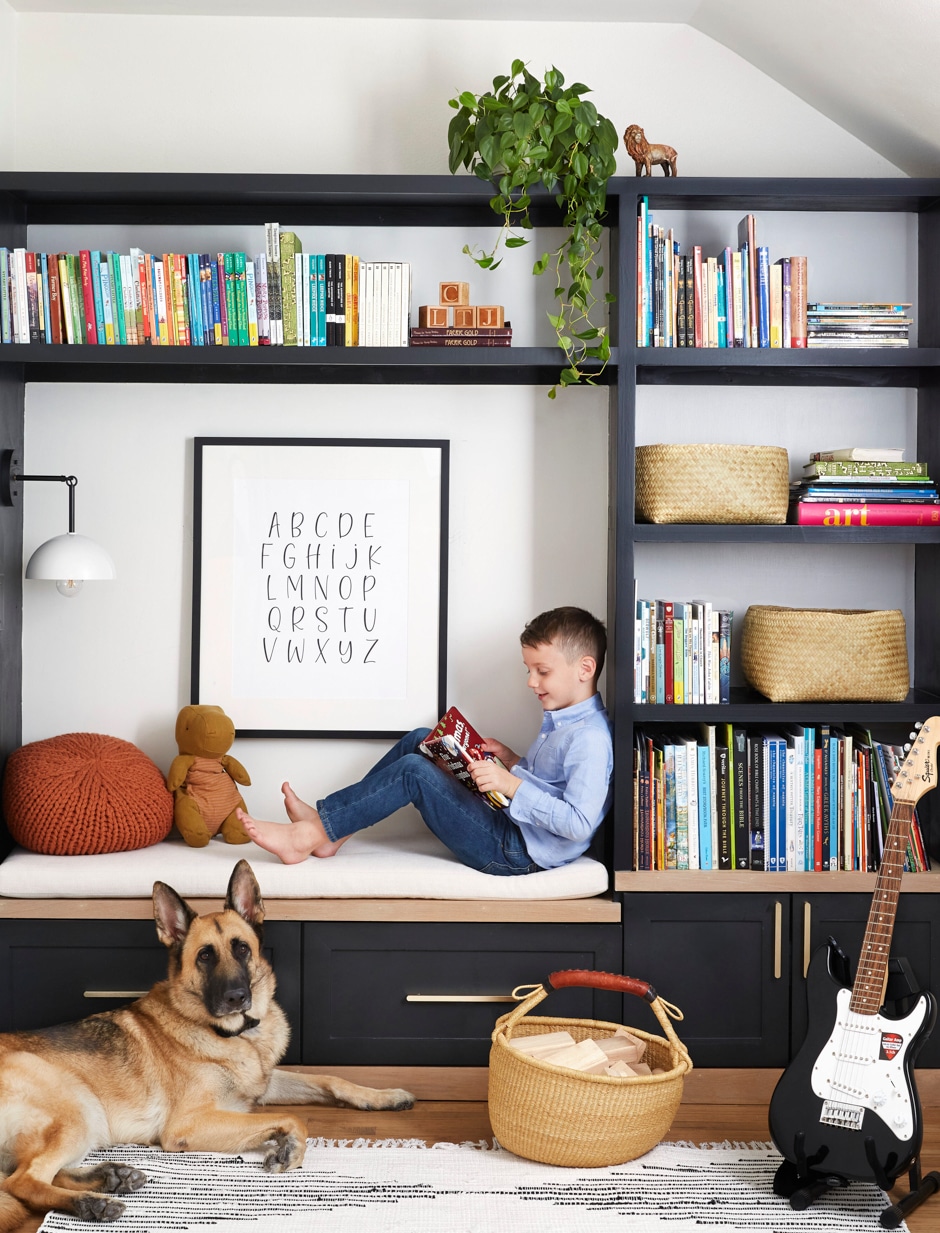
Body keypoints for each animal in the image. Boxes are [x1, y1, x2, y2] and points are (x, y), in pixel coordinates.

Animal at [0, 863, 414, 1228]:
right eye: (205, 956)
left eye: (242, 949)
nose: (236, 998)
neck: (236, 1035)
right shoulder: (189, 1124)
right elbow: (293, 1119)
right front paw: (289, 1149)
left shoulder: (264, 1083)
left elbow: (332, 1080)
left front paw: (384, 1095)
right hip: (78, 1107)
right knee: (22, 1181)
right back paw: (91, 1203)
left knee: (34, 1173)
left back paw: (110, 1177)